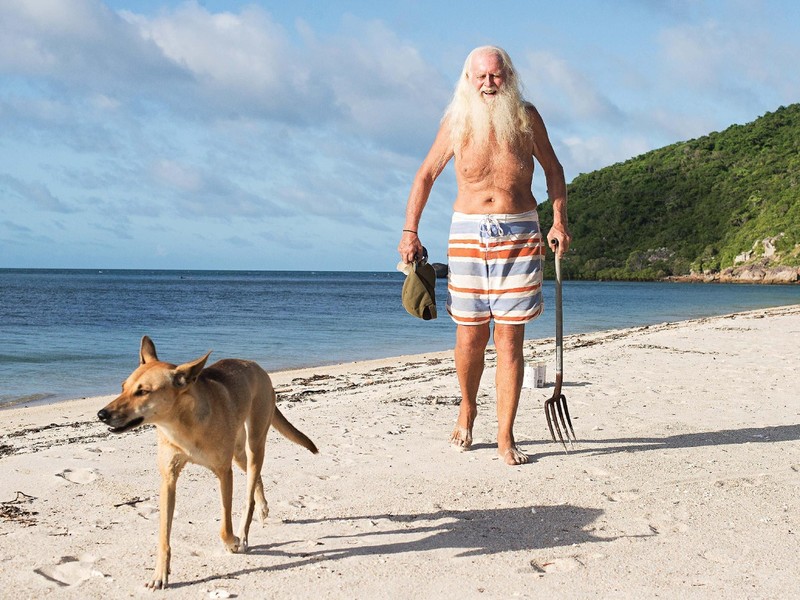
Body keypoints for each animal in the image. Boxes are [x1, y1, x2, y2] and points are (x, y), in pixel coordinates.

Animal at [97, 336, 316, 588]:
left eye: (143, 391)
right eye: (123, 387)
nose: (101, 414)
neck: (183, 424)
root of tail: (256, 366)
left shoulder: (224, 473)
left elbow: (225, 525)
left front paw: (232, 542)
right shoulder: (168, 480)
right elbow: (163, 535)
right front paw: (160, 574)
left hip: (255, 443)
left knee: (249, 492)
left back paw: (245, 532)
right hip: (239, 452)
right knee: (257, 479)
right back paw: (262, 507)